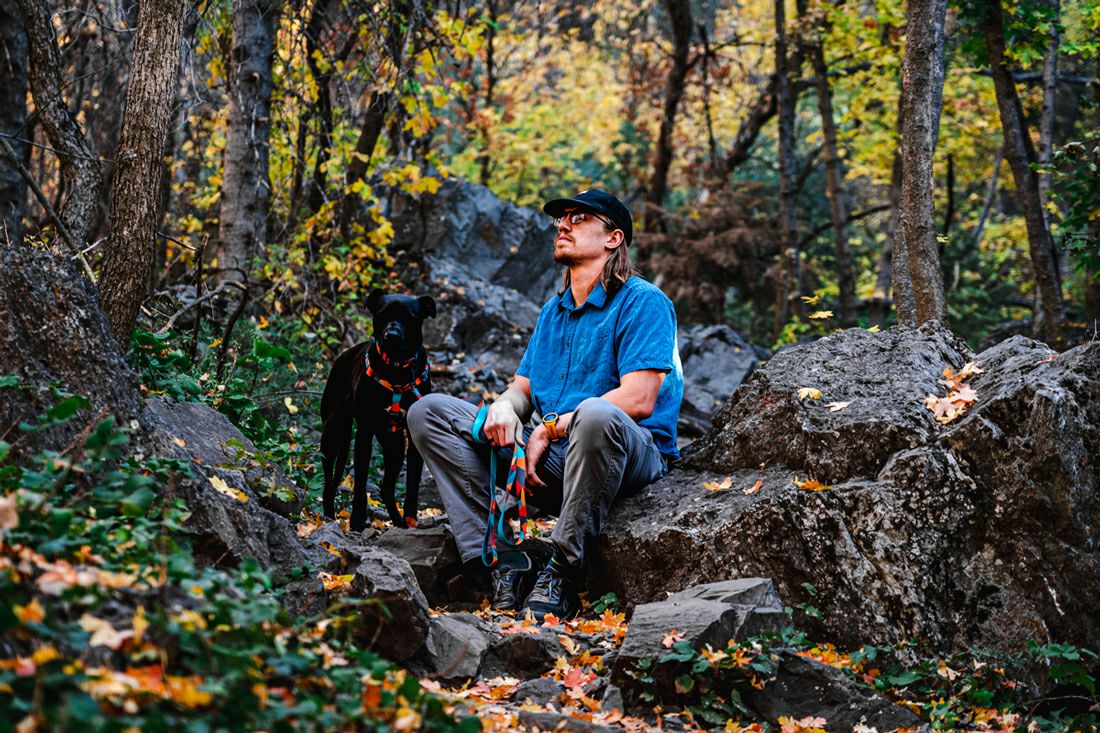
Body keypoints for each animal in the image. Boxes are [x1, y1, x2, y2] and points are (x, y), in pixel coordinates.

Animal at [321, 286, 435, 530]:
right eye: (382, 315)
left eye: (409, 318)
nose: (391, 335)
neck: (397, 369)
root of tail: (342, 356)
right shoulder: (364, 432)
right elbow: (361, 482)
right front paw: (356, 521)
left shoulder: (413, 441)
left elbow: (412, 485)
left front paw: (411, 520)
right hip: (333, 434)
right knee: (328, 482)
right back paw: (328, 516)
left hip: (394, 445)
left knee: (386, 487)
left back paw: (399, 522)